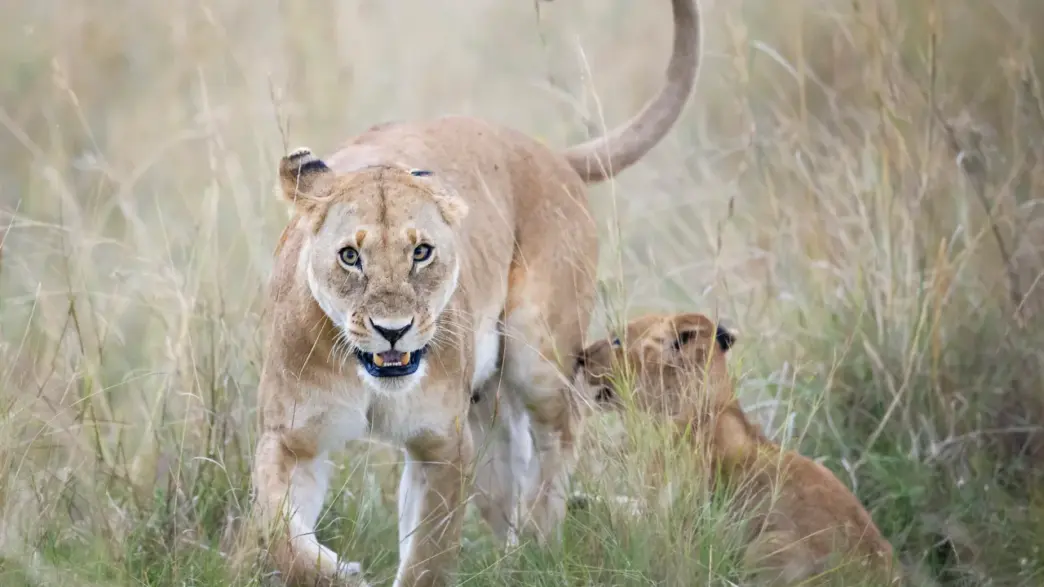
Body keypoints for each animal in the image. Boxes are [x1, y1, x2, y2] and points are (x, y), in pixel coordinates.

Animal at [250, 1, 704, 585]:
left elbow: (427, 557)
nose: (393, 332)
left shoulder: (443, 445)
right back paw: (513, 557)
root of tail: (549, 153)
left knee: (561, 432)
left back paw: (539, 540)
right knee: (509, 461)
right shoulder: (290, 436)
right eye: (350, 257)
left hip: (537, 354)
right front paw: (336, 570)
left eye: (421, 253)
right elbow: (277, 534)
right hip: (485, 405)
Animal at [574, 312, 903, 586]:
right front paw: (579, 498)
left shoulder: (672, 525)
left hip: (767, 546)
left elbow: (620, 517)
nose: (579, 356)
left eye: (617, 339)